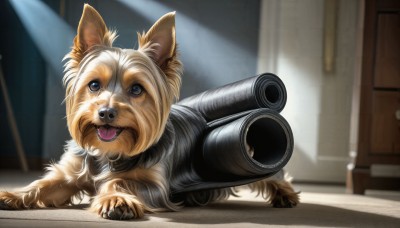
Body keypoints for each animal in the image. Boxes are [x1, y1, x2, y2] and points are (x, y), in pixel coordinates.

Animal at [0, 4, 298, 220]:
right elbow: (44, 185)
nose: (106, 112)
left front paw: (116, 199)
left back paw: (286, 194)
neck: (111, 153)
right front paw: (11, 195)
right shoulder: (70, 172)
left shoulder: (155, 185)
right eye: (94, 85)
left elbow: (120, 182)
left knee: (274, 174)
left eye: (136, 89)